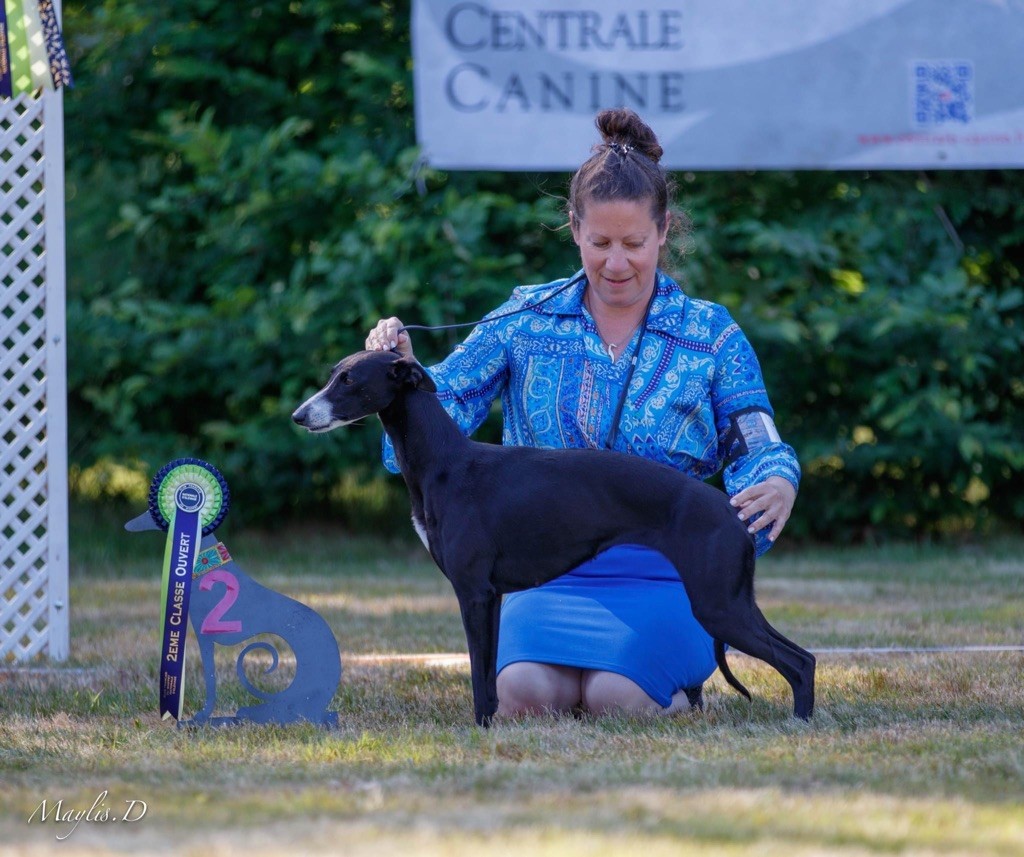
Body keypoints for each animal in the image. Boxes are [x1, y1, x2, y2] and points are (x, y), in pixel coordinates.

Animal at [294, 348, 815, 720]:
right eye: (334, 374)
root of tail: (732, 511)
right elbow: (488, 675)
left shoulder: (473, 592)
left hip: (717, 604)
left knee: (801, 661)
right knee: (801, 657)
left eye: (349, 380)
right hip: (732, 600)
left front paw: (480, 730)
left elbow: (479, 677)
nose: (300, 416)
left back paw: (799, 723)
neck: (444, 461)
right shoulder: (491, 597)